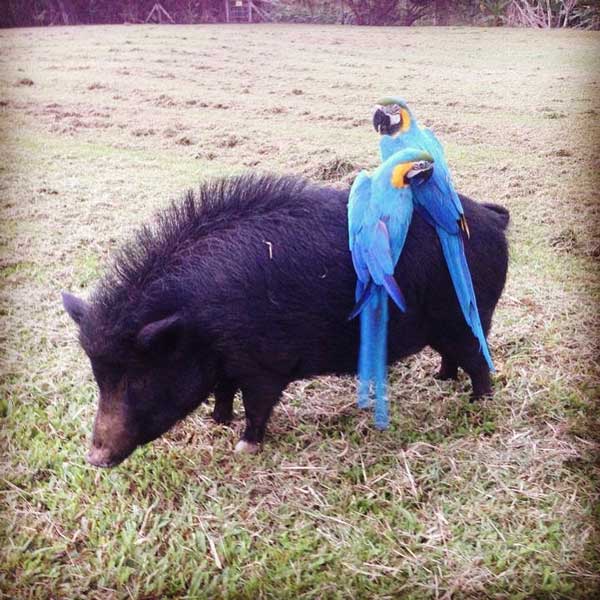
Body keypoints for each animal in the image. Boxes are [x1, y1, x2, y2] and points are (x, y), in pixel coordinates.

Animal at [63, 173, 508, 464]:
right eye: (99, 378)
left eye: (139, 378)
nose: (94, 458)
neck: (199, 319)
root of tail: (492, 217)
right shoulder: (227, 363)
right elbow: (223, 392)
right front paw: (217, 422)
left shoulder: (265, 363)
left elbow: (258, 405)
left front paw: (244, 448)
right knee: (453, 357)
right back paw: (442, 379)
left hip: (467, 317)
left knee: (479, 361)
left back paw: (478, 402)